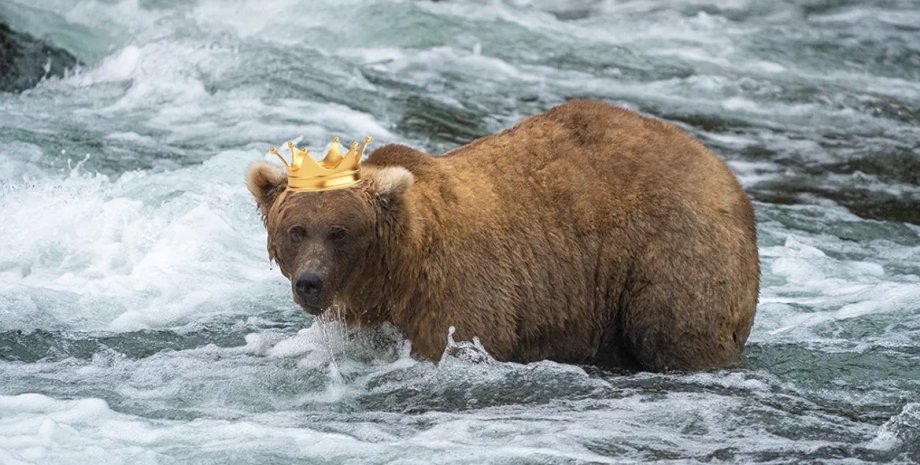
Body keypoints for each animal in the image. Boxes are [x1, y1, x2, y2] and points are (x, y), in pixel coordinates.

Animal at [248, 99, 760, 372]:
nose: (310, 282)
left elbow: (458, 339)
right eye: (296, 230)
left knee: (673, 330)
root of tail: (722, 170)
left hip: (671, 248)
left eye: (340, 232)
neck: (396, 272)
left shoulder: (458, 293)